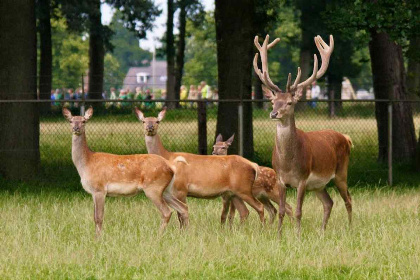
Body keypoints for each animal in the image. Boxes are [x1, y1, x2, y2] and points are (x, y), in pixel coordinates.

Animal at [62, 106, 187, 236]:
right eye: (70, 121)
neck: (87, 163)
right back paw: (184, 233)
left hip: (153, 187)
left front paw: (98, 238)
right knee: (183, 207)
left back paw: (158, 236)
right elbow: (94, 217)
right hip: (166, 189)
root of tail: (171, 166)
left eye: (84, 121)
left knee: (167, 211)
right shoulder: (93, 192)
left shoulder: (99, 189)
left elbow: (98, 217)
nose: (76, 128)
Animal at [135, 106, 266, 226]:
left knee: (259, 206)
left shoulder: (181, 188)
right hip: (234, 192)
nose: (150, 128)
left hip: (244, 188)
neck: (167, 157)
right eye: (143, 121)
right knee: (244, 211)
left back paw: (263, 228)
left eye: (157, 121)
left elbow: (181, 214)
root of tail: (253, 165)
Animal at [253, 35, 354, 236]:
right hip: (318, 185)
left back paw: (350, 227)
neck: (288, 164)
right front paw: (279, 236)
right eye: (273, 101)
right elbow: (282, 210)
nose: (274, 113)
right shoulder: (281, 180)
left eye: (290, 102)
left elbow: (299, 211)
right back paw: (322, 232)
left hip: (341, 173)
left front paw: (298, 236)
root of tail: (346, 138)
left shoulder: (302, 179)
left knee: (348, 199)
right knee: (329, 202)